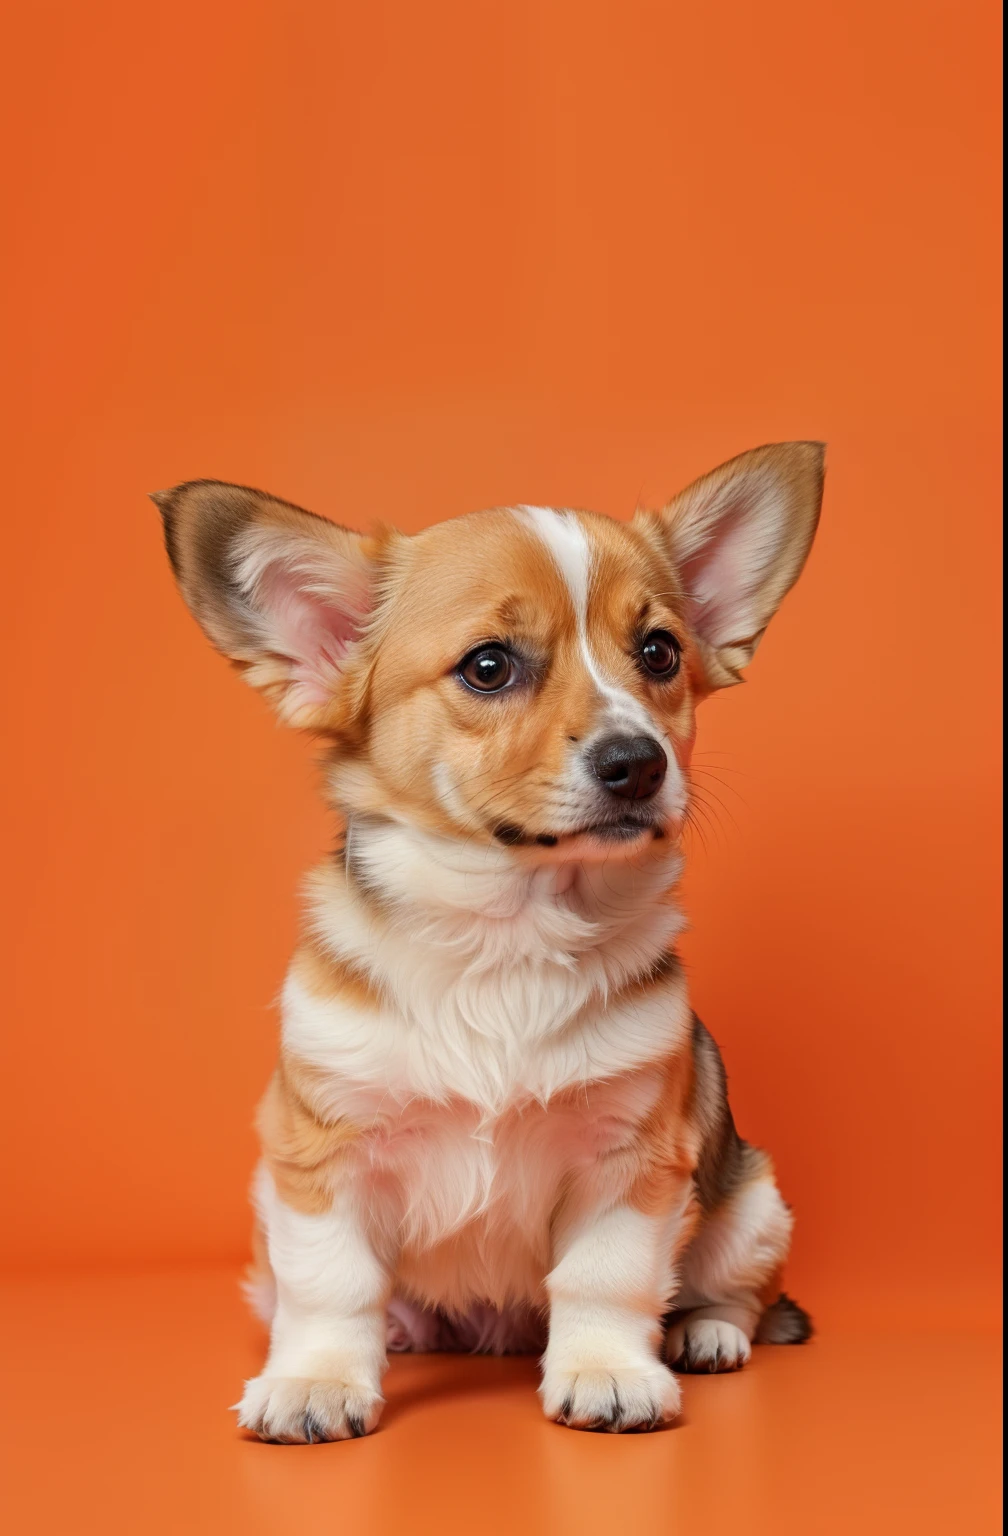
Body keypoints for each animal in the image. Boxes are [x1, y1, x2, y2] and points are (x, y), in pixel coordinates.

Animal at [155, 442, 817, 1437]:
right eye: (489, 667)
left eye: (659, 652)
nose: (640, 762)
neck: (507, 932)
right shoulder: (319, 1160)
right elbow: (331, 1285)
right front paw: (317, 1381)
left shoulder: (630, 1159)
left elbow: (606, 1278)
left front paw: (606, 1371)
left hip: (753, 1204)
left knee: (725, 1290)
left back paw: (704, 1334)